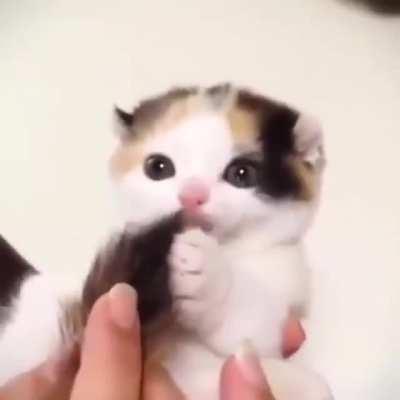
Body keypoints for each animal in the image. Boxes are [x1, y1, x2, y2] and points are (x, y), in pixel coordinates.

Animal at [0, 84, 332, 399]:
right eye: (158, 167)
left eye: (242, 173)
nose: (191, 195)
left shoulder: (286, 281)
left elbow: (252, 329)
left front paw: (207, 271)